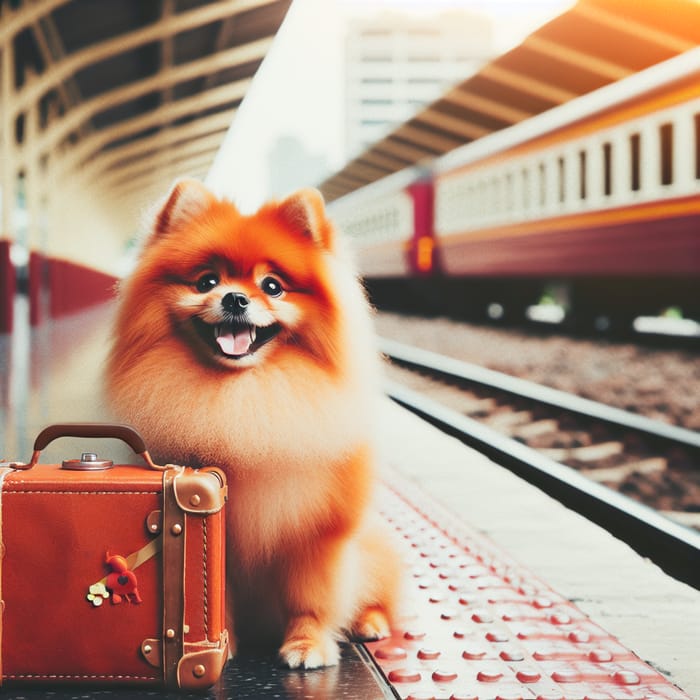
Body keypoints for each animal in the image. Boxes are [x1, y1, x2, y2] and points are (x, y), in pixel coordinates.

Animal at [104, 179, 400, 668]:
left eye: (273, 286)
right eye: (207, 281)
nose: (235, 298)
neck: (245, 399)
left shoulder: (318, 535)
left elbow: (312, 598)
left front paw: (308, 644)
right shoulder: (220, 533)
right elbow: (214, 593)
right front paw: (218, 645)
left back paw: (369, 623)